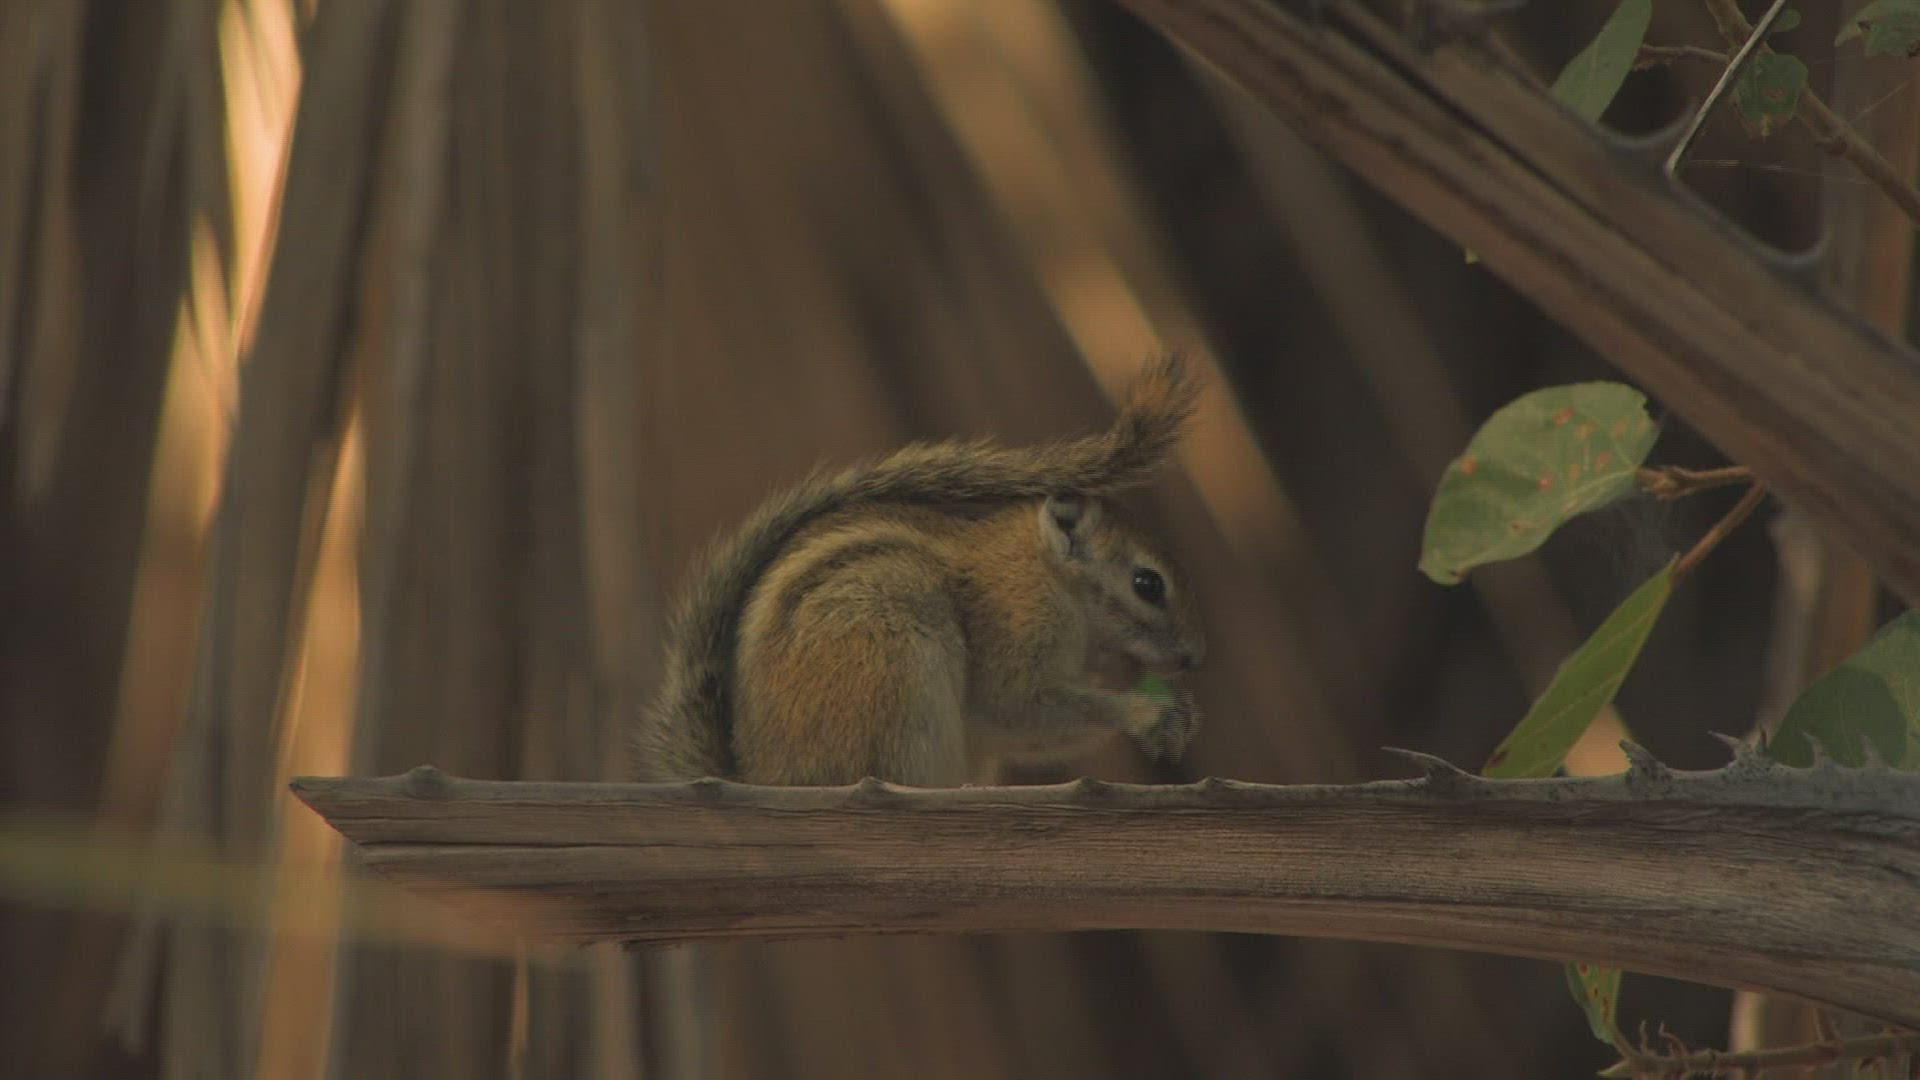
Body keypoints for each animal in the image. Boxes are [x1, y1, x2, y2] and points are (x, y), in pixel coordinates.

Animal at [630, 354, 1206, 786]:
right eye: (1147, 584)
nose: (1193, 658)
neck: (1046, 573)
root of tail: (767, 777)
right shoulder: (1017, 626)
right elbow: (1020, 708)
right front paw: (1145, 713)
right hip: (891, 674)